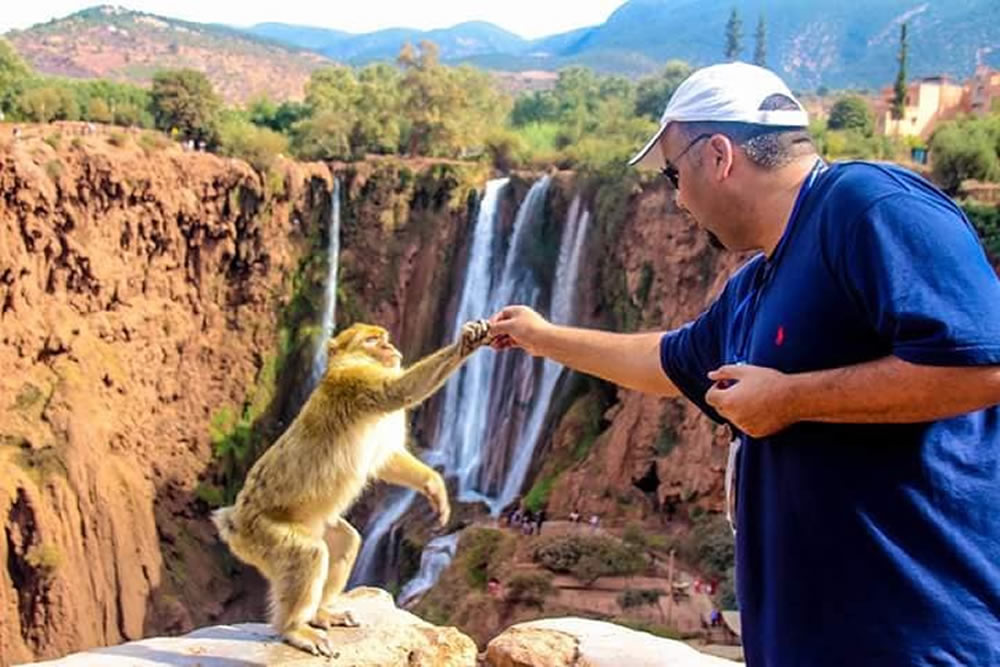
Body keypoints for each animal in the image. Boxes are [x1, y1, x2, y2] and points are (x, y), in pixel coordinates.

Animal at [211, 319, 492, 657]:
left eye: (384, 338)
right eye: (372, 340)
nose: (390, 347)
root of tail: (234, 520)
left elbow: (386, 459)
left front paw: (433, 485)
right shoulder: (354, 379)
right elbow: (399, 391)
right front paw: (466, 343)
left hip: (313, 524)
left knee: (346, 541)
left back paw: (320, 613)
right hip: (262, 534)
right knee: (309, 554)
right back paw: (295, 629)